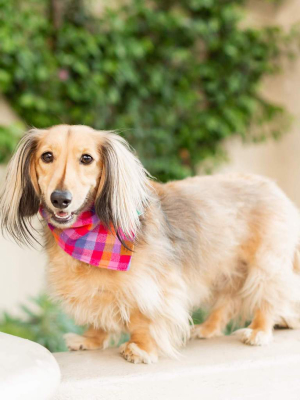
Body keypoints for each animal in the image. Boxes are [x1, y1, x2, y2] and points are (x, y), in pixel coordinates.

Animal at [0, 125, 300, 362]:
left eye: (87, 158)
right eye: (47, 156)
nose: (60, 198)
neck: (89, 235)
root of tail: (272, 186)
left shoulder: (151, 287)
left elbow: (142, 319)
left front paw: (140, 348)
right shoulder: (94, 291)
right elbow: (98, 316)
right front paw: (91, 340)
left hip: (265, 264)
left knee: (269, 297)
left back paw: (259, 330)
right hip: (225, 268)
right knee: (226, 300)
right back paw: (208, 328)